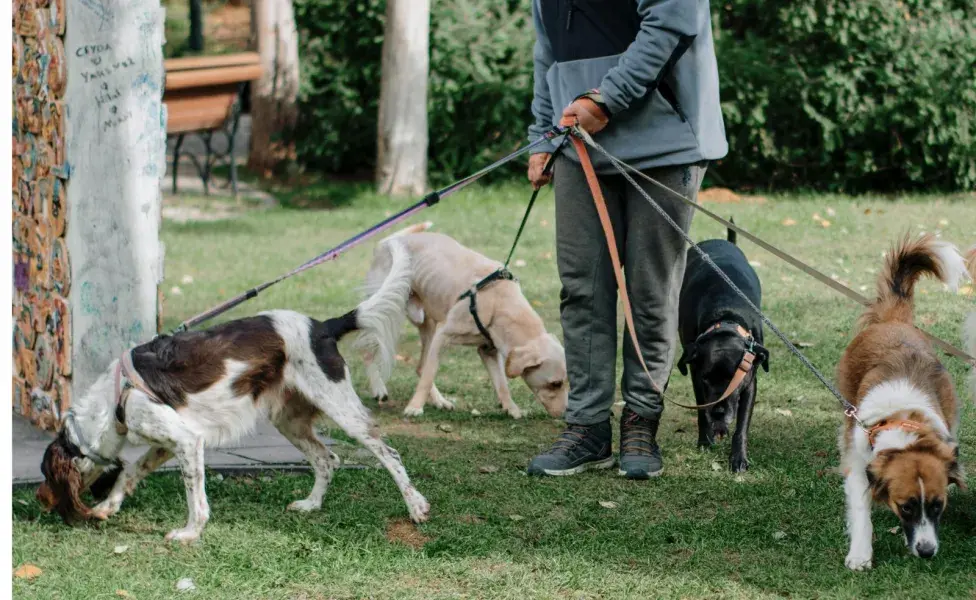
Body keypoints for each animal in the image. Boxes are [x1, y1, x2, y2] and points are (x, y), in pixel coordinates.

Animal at [38, 240, 428, 544]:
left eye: (45, 475)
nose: (41, 500)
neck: (113, 402)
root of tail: (322, 326)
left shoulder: (187, 441)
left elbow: (193, 496)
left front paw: (190, 532)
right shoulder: (165, 443)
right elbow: (129, 472)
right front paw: (107, 507)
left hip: (341, 408)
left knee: (389, 453)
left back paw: (416, 506)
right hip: (289, 420)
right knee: (327, 458)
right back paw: (311, 505)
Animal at [362, 223, 568, 420]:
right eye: (555, 383)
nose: (566, 414)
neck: (499, 301)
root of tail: (388, 242)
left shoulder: (488, 350)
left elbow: (502, 384)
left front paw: (512, 409)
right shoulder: (442, 335)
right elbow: (428, 376)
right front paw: (414, 407)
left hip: (428, 325)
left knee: (420, 367)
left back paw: (439, 401)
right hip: (385, 312)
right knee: (371, 354)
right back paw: (378, 388)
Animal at [676, 226, 768, 474]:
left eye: (734, 380)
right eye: (707, 378)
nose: (718, 413)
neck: (725, 316)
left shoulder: (750, 383)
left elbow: (742, 426)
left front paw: (738, 457)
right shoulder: (696, 376)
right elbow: (701, 410)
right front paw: (705, 440)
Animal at [840, 232, 968, 568]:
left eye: (937, 505)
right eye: (906, 506)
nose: (926, 551)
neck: (902, 422)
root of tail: (893, 320)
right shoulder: (859, 463)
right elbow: (861, 508)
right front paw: (860, 552)